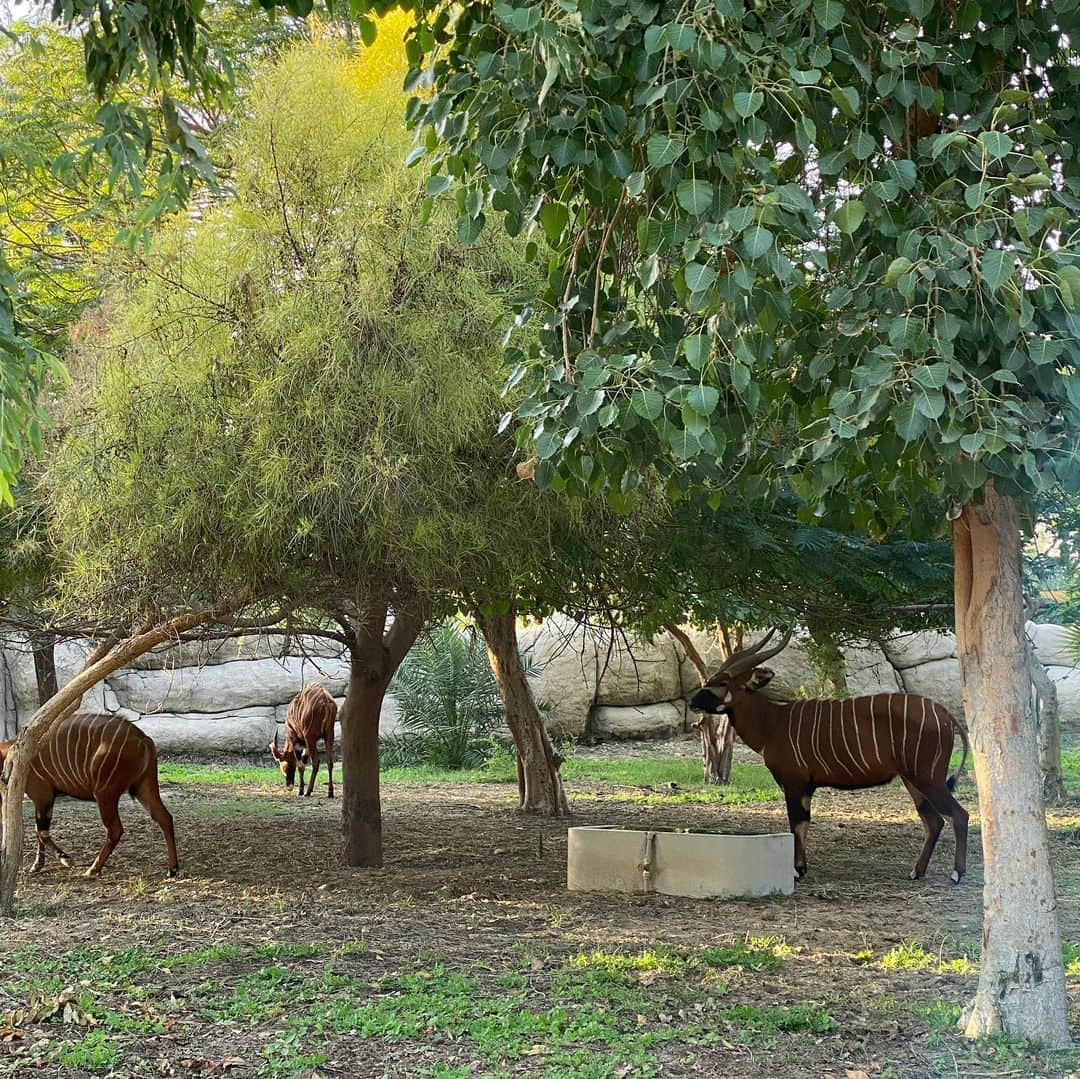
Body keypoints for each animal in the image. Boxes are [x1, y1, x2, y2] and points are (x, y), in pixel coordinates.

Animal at [0, 712, 179, 881]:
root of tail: (144, 739)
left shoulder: (43, 796)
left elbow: (41, 831)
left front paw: (66, 859)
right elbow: (39, 831)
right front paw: (37, 866)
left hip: (105, 793)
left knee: (116, 829)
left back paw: (93, 869)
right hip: (144, 786)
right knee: (165, 818)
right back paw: (172, 869)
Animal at [691, 630, 972, 885]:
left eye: (721, 683)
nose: (693, 701)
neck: (773, 723)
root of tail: (945, 715)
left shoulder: (794, 783)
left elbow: (796, 822)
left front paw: (796, 871)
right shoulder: (805, 787)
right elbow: (803, 823)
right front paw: (802, 868)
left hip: (927, 777)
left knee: (959, 815)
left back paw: (956, 874)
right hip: (912, 780)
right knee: (934, 821)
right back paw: (916, 872)